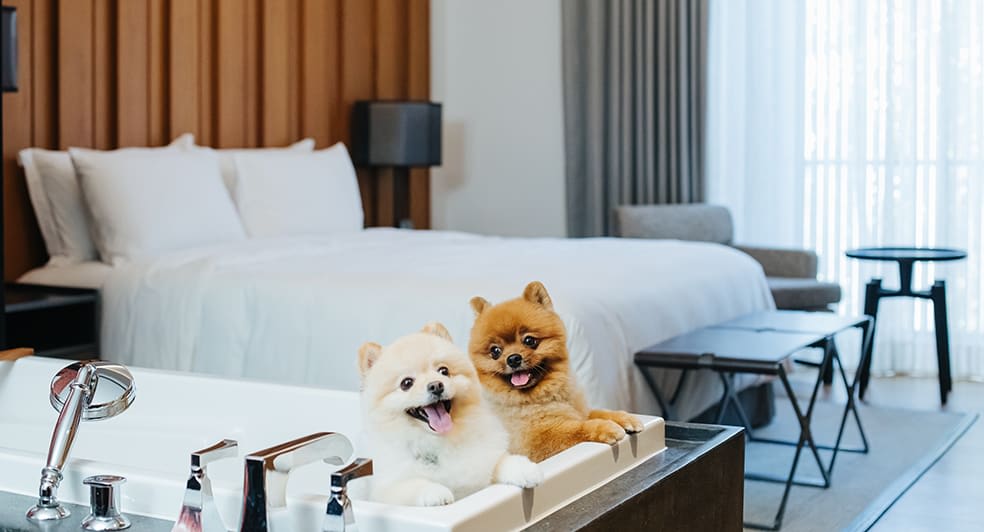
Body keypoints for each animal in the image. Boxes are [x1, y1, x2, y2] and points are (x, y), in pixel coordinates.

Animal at [358, 322, 540, 504]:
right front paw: (436, 492)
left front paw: (526, 469)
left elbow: (502, 460)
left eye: (444, 371)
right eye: (406, 383)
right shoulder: (385, 491)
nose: (436, 385)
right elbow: (412, 486)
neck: (442, 440)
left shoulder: (483, 463)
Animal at [468, 282, 644, 462]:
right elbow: (577, 428)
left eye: (529, 340)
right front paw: (605, 427)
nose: (513, 359)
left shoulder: (581, 411)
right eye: (495, 351)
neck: (546, 396)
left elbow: (599, 412)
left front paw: (624, 417)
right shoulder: (534, 442)